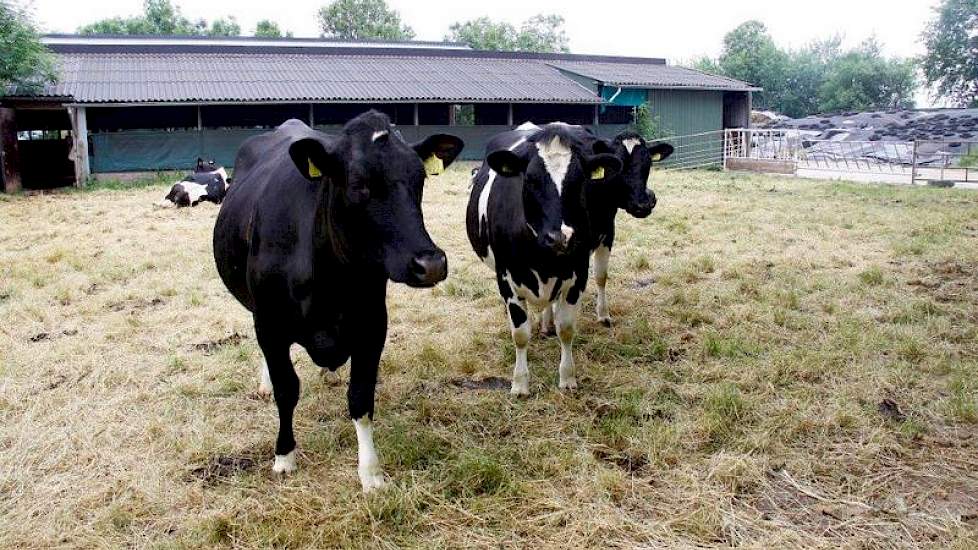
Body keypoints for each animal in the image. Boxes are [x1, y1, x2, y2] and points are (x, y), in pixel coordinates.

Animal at [211, 112, 462, 492]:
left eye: (419, 178)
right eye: (358, 182)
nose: (430, 263)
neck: (330, 280)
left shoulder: (372, 324)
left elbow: (360, 398)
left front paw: (370, 473)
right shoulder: (270, 325)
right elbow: (287, 388)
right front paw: (284, 456)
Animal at [464, 122, 616, 396]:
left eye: (579, 181)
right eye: (530, 179)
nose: (560, 237)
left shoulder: (578, 275)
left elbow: (566, 329)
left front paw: (567, 377)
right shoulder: (506, 278)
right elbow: (520, 333)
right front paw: (520, 383)